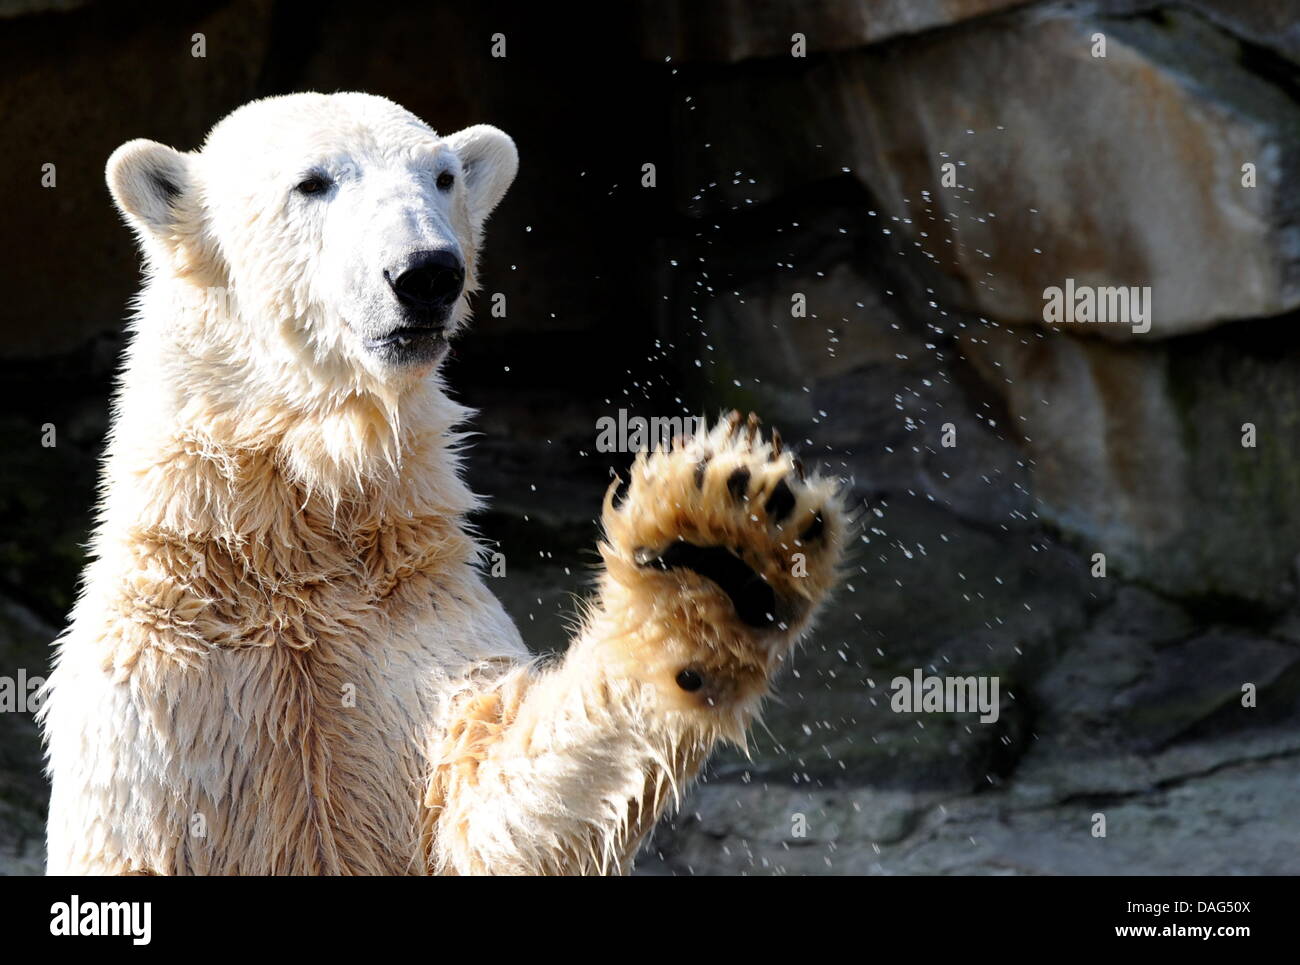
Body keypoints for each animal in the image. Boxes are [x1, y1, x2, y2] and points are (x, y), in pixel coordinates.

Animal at [38, 92, 842, 879]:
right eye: (313, 182)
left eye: (443, 176)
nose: (427, 271)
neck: (288, 548)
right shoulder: (162, 689)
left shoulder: (409, 625)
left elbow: (487, 804)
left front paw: (718, 552)